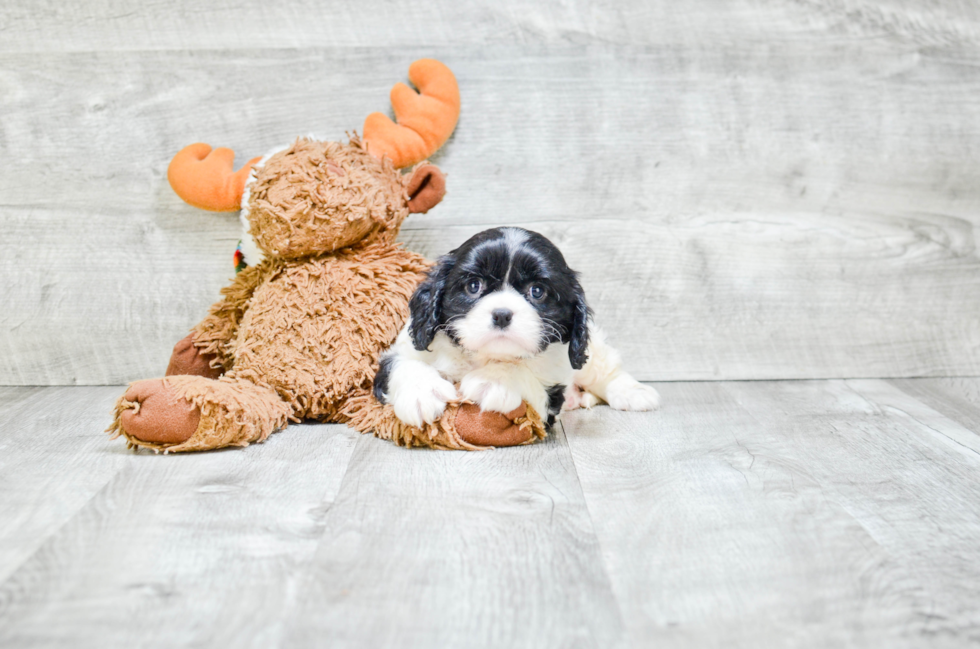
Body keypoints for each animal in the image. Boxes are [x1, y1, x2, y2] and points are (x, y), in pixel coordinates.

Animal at [372, 225, 664, 428]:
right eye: (473, 286)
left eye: (537, 291)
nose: (502, 314)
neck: (482, 357)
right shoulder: (405, 349)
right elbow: (403, 364)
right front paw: (421, 393)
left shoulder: (551, 395)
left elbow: (522, 373)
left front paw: (495, 380)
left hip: (591, 358)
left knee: (604, 370)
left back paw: (633, 392)